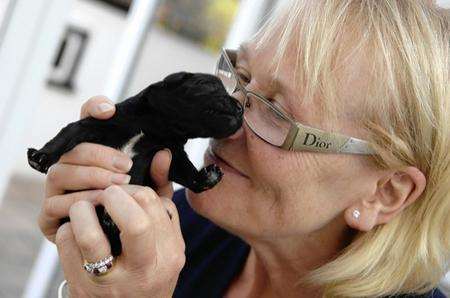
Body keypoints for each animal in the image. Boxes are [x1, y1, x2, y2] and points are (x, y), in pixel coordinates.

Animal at [28, 73, 243, 256]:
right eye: (210, 85)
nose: (241, 107)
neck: (156, 127)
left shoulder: (170, 154)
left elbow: (187, 173)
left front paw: (208, 177)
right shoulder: (95, 124)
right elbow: (66, 135)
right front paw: (40, 157)